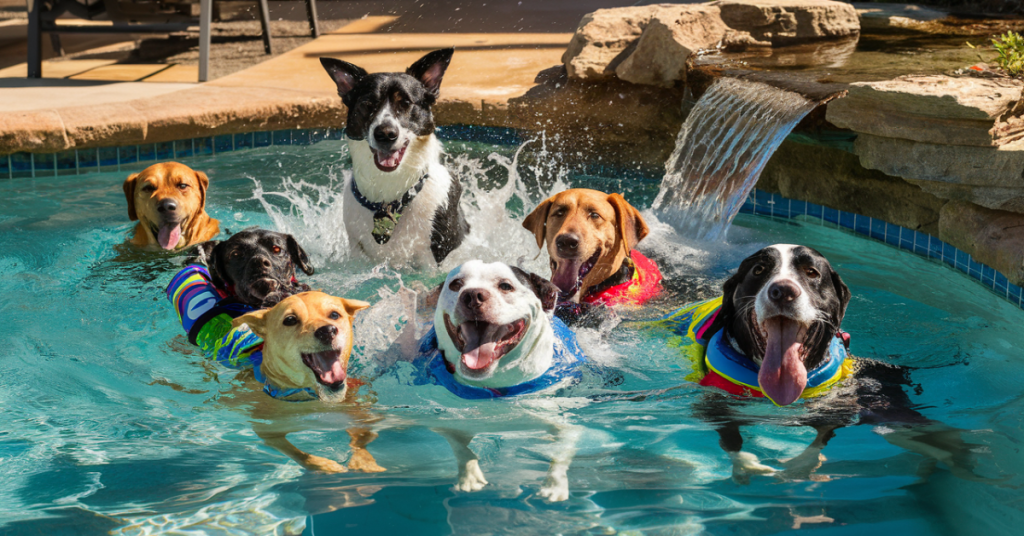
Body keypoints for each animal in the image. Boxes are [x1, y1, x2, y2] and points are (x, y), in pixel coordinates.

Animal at [228, 291, 385, 471]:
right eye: (290, 320)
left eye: (334, 315)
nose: (327, 331)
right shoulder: (266, 428)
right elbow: (298, 454)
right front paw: (325, 465)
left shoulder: (359, 412)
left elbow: (361, 435)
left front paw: (364, 461)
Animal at [319, 48, 471, 268]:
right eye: (367, 104)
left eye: (406, 103)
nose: (385, 134)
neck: (389, 198)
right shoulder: (356, 250)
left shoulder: (433, 256)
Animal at [415, 261, 589, 504]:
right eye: (456, 284)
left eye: (506, 286)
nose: (472, 295)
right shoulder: (448, 420)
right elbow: (459, 446)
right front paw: (469, 475)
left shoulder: (566, 424)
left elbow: (560, 450)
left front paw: (554, 485)